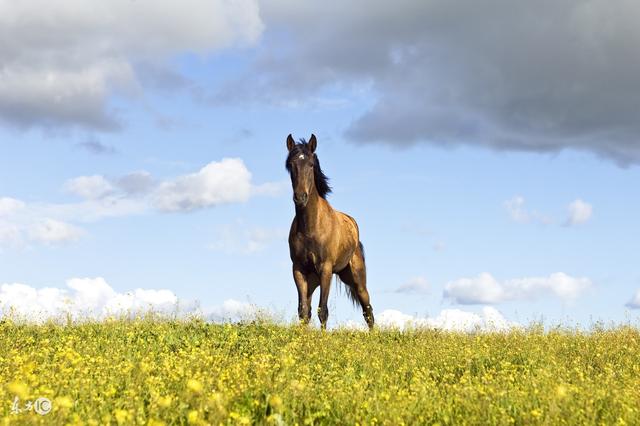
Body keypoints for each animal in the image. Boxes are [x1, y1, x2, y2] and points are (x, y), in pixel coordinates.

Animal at [286, 133, 376, 330]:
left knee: (368, 311)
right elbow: (303, 311)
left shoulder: (325, 269)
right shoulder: (298, 270)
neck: (311, 228)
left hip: (357, 280)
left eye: (311, 164)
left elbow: (323, 311)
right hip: (313, 281)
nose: (300, 197)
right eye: (290, 165)